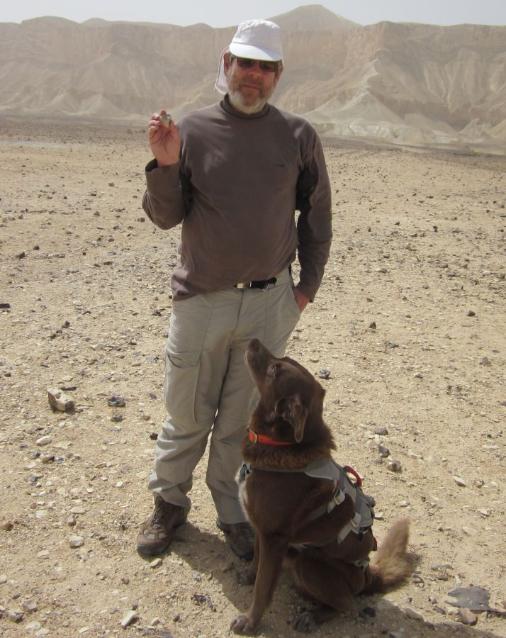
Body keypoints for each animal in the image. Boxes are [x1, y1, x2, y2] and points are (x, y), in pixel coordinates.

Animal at [230, 340, 412, 636]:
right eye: (283, 359)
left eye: (274, 369)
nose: (254, 340)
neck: (283, 445)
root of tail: (368, 576)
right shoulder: (262, 531)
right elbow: (257, 563)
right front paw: (248, 575)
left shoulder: (274, 538)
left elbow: (263, 589)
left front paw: (249, 621)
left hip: (309, 564)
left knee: (347, 604)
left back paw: (313, 616)